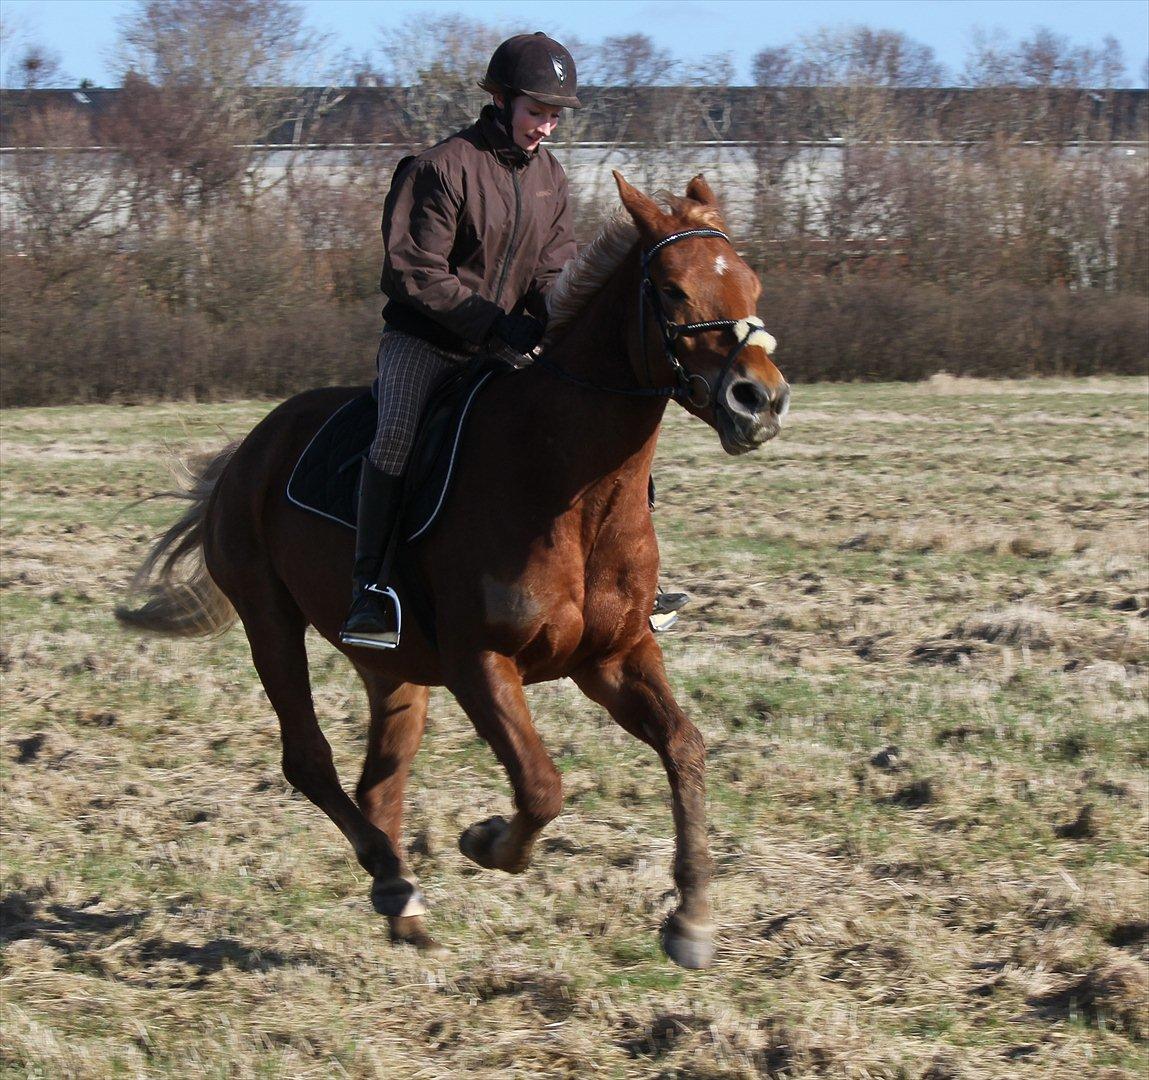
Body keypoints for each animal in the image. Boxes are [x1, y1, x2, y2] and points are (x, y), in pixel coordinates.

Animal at [121, 174, 790, 969]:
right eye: (670, 289)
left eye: (751, 283)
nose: (760, 400)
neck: (570, 488)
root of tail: (248, 450)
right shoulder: (481, 661)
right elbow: (541, 787)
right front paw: (485, 840)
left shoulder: (613, 656)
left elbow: (685, 746)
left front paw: (690, 918)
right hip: (270, 623)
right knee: (308, 761)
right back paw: (392, 881)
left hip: (394, 669)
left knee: (377, 784)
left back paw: (401, 905)